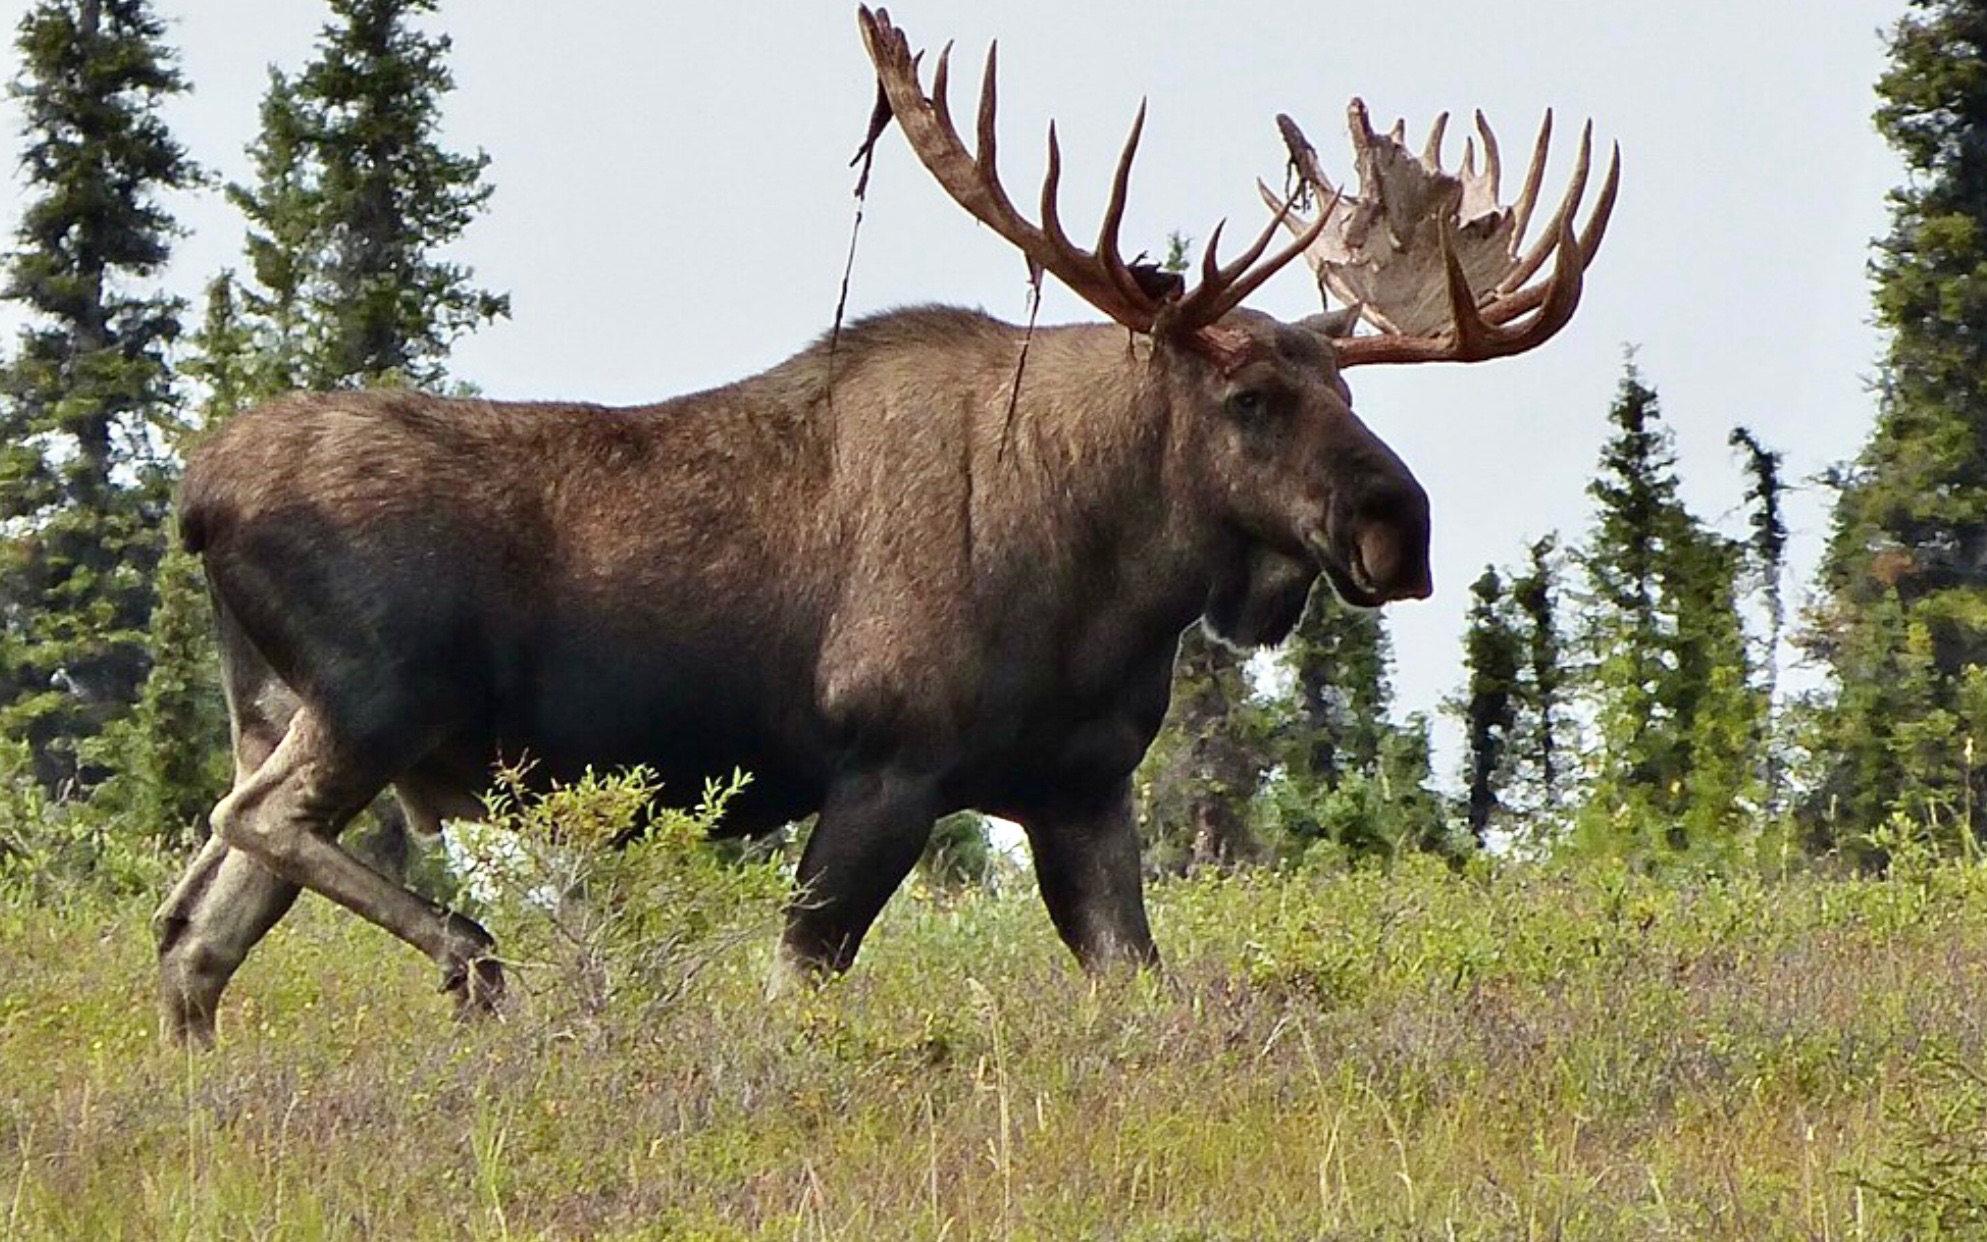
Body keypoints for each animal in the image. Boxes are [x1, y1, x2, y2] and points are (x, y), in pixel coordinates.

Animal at [151, 4, 1613, 1041]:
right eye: (1248, 396)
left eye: (1349, 388)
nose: (1397, 527)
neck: (1106, 587)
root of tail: (195, 497)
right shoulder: (887, 766)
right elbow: (799, 980)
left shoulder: (1080, 789)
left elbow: (1143, 986)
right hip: (376, 698)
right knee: (240, 830)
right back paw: (472, 953)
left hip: (285, 706)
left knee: (192, 932)